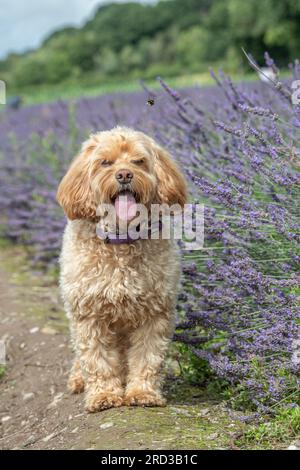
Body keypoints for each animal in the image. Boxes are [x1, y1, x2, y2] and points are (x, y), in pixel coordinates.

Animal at [56, 126, 186, 414]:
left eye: (139, 161)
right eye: (105, 162)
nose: (125, 174)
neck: (121, 240)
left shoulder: (155, 313)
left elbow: (148, 358)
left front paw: (142, 393)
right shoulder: (89, 315)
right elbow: (97, 360)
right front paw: (104, 396)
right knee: (81, 359)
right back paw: (78, 380)